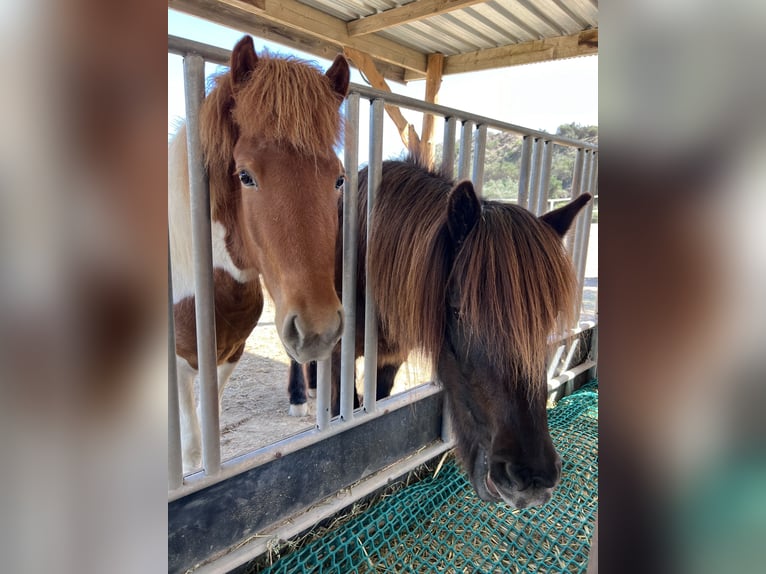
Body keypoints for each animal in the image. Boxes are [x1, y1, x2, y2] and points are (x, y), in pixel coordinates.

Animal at [169, 36, 350, 474]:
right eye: (245, 175)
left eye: (338, 178)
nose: (319, 330)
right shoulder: (177, 367)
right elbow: (192, 448)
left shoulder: (229, 355)